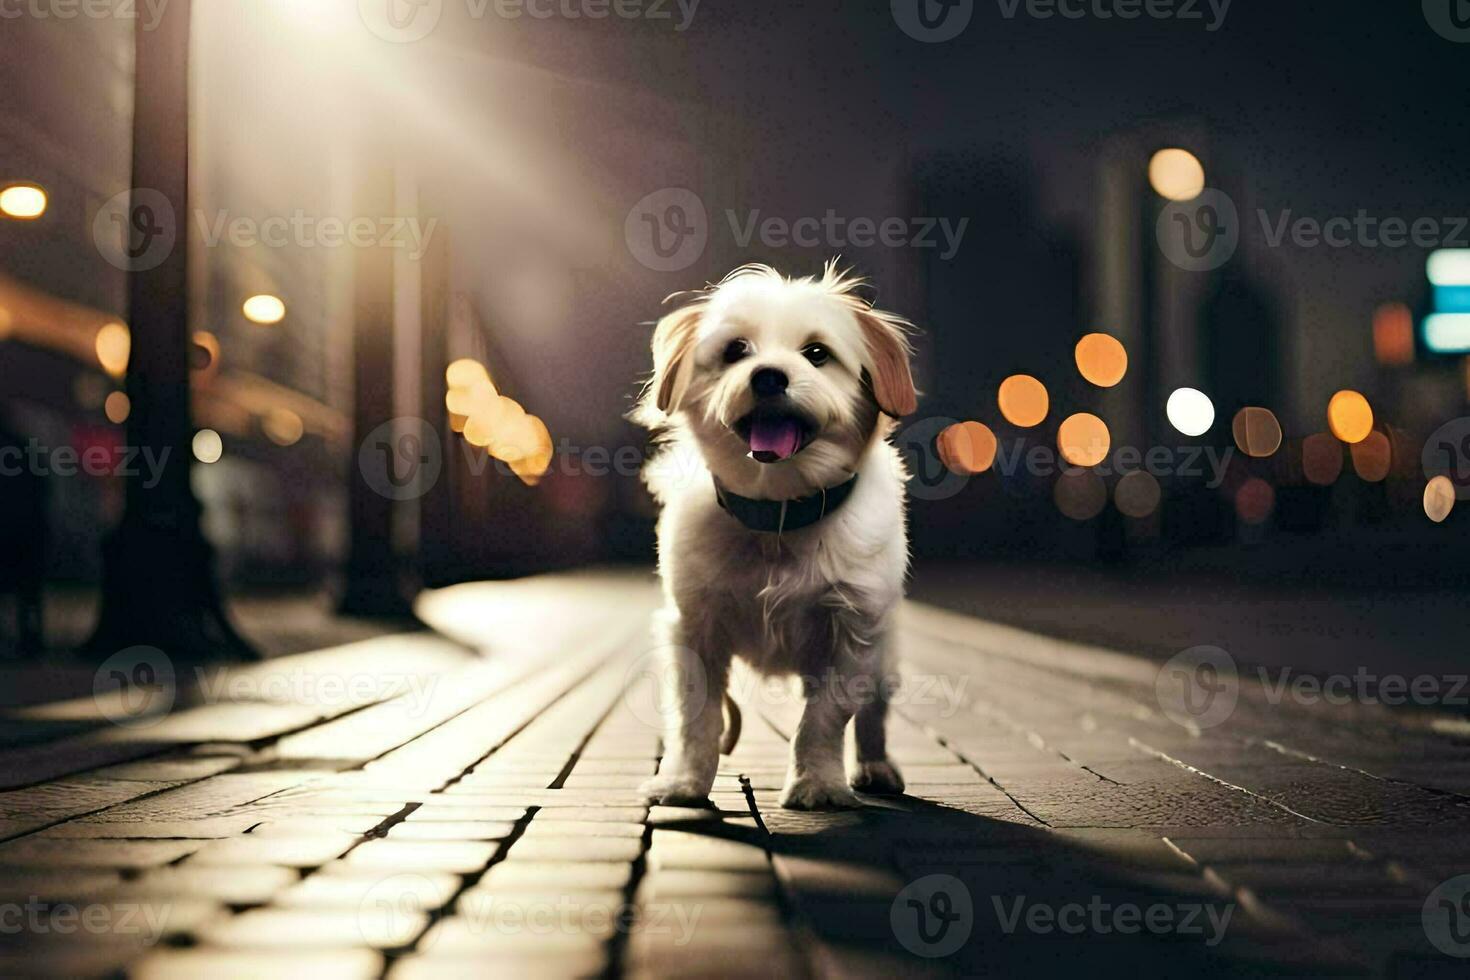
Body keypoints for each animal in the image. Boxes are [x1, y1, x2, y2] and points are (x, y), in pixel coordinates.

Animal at [635, 260, 911, 811]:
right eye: (735, 350)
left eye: (817, 354)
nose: (767, 376)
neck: (777, 515)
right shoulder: (694, 628)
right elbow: (697, 719)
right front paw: (684, 782)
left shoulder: (853, 633)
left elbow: (824, 718)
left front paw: (817, 783)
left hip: (884, 653)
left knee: (873, 714)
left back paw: (874, 766)